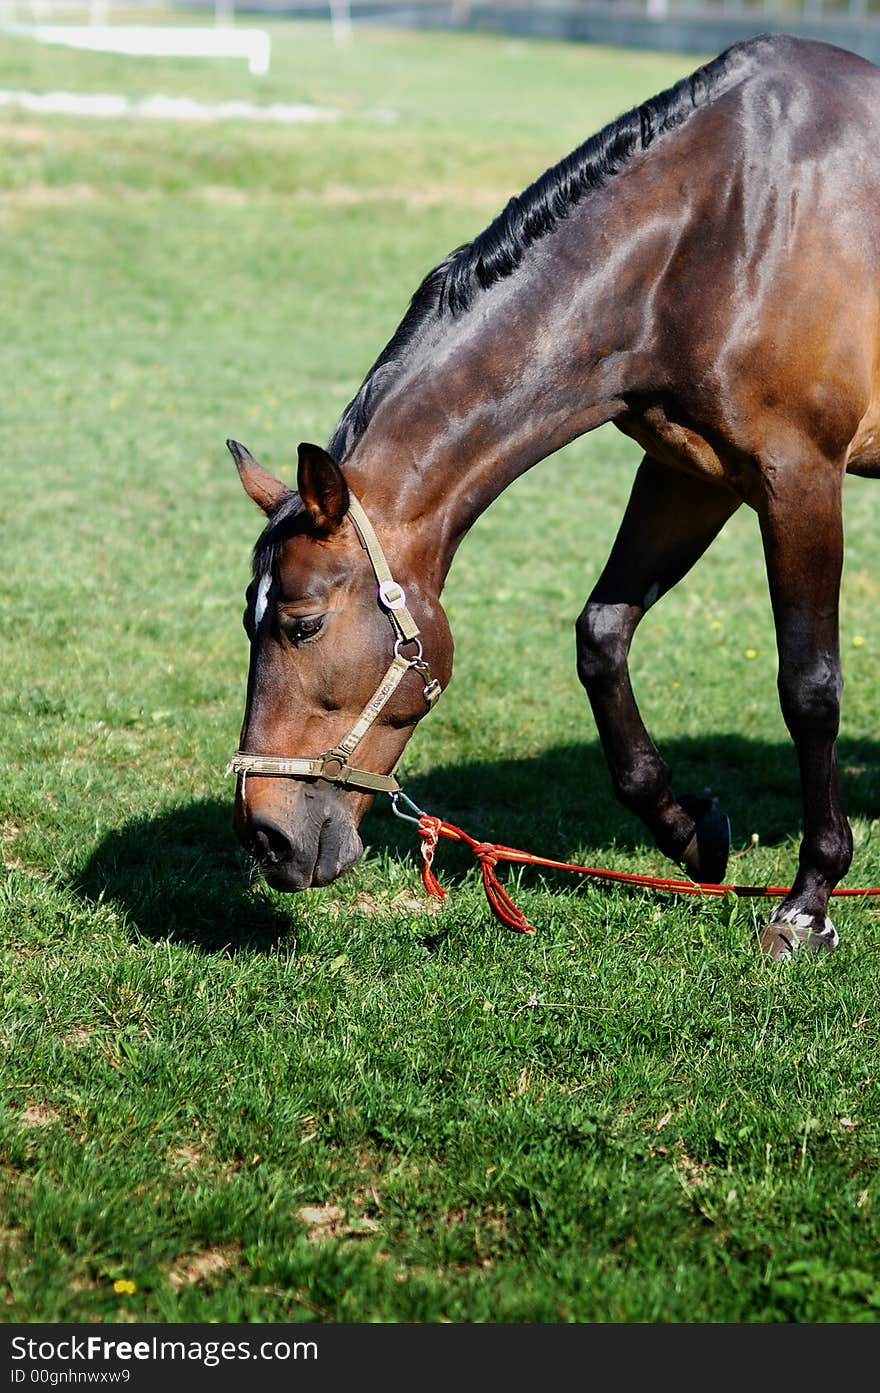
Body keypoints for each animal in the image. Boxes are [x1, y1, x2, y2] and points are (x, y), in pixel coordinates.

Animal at [222, 38, 880, 963]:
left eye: (303, 624)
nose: (265, 836)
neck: (731, 224)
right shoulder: (692, 472)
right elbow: (601, 636)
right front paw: (691, 832)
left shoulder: (801, 477)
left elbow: (809, 687)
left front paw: (809, 901)